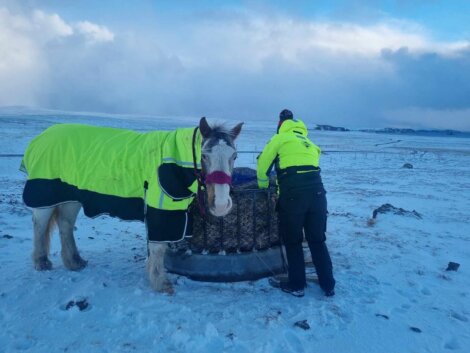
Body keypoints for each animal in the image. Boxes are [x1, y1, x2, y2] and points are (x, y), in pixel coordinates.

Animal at [21, 117, 242, 292]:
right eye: (204, 155)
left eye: (234, 156)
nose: (221, 204)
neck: (175, 162)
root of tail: (41, 138)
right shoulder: (159, 211)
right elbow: (158, 248)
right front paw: (160, 283)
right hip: (46, 197)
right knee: (40, 225)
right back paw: (41, 262)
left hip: (71, 198)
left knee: (65, 225)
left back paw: (74, 261)